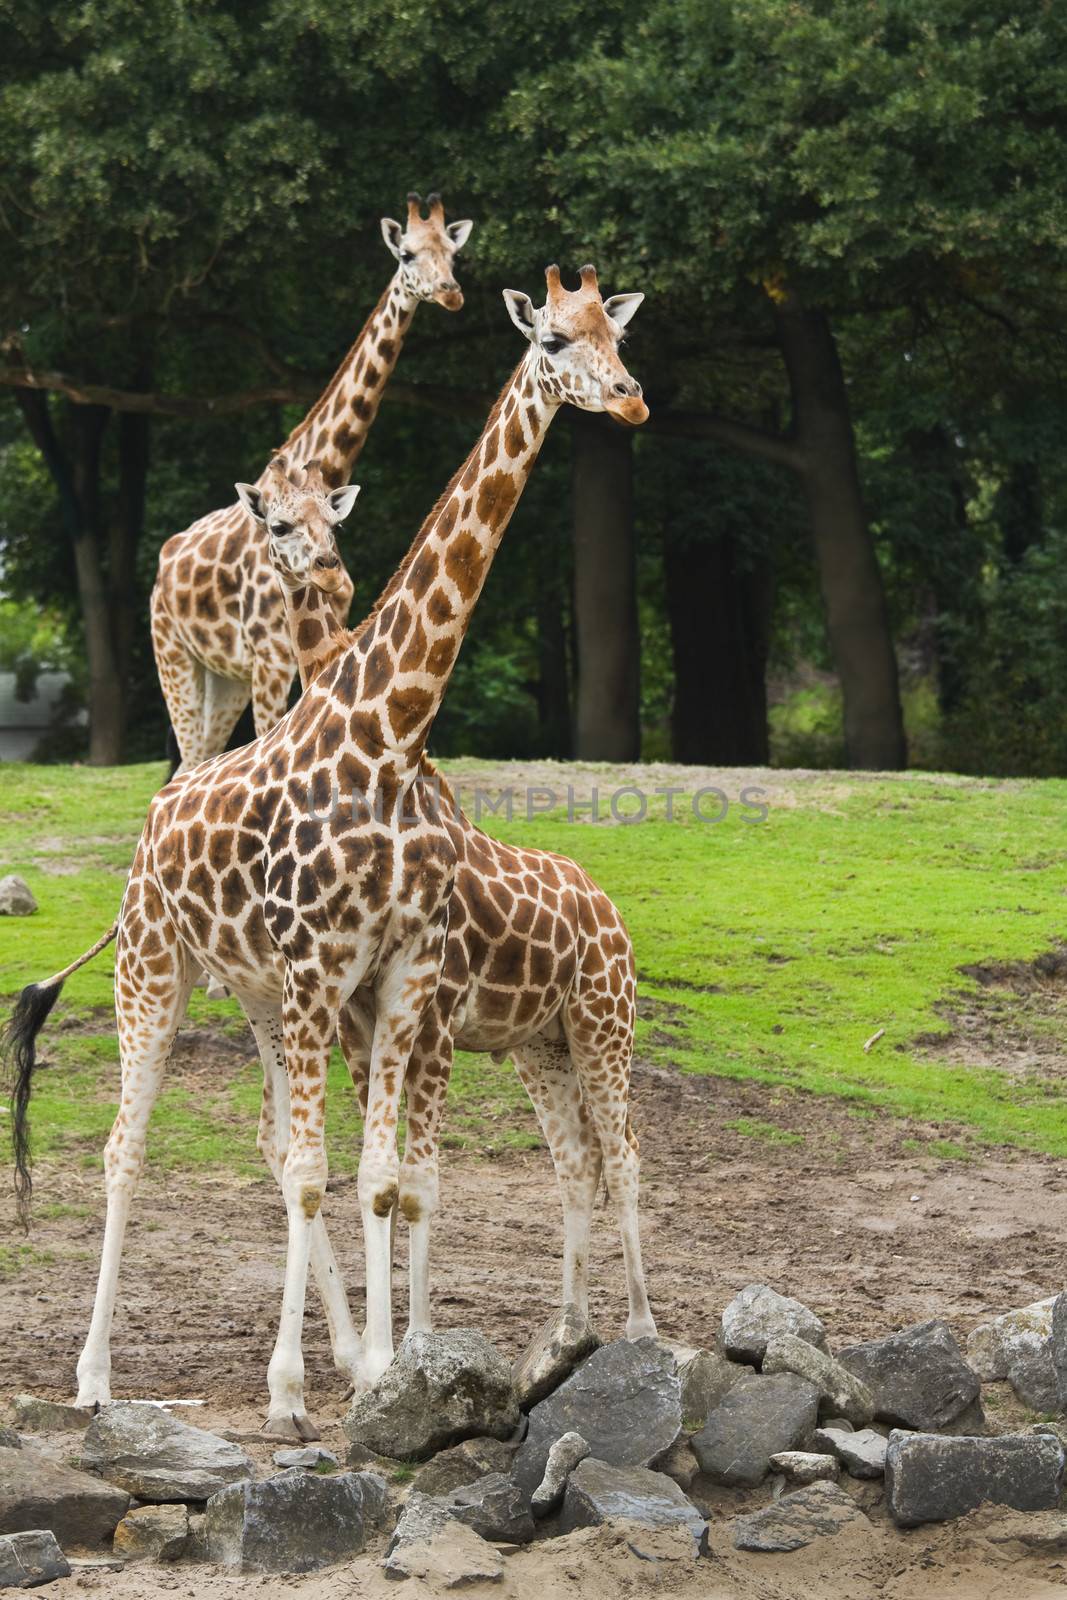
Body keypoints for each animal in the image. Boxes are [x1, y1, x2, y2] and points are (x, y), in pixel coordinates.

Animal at [150, 190, 470, 777]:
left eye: (453, 254)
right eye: (407, 255)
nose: (449, 293)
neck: (321, 466)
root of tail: (165, 563)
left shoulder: (317, 641)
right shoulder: (271, 656)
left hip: (224, 676)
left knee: (196, 758)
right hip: (175, 655)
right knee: (188, 759)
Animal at [244, 451, 655, 1363]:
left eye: (325, 518)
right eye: (275, 522)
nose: (327, 569)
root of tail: (611, 913)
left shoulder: (428, 1022)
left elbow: (416, 1182)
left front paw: (414, 1347)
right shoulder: (371, 1025)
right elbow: (385, 1172)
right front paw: (395, 1346)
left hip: (603, 1023)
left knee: (624, 1152)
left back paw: (642, 1330)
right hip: (542, 1043)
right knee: (577, 1160)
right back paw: (566, 1331)